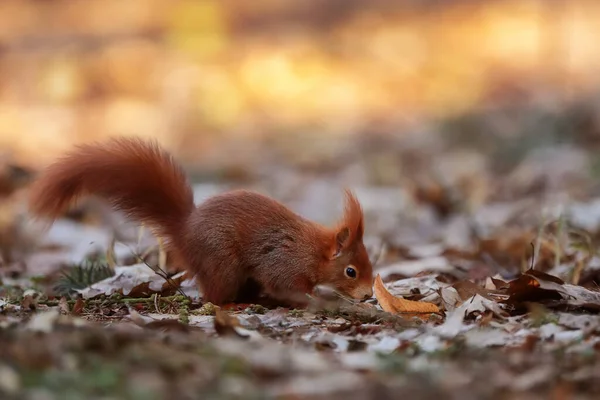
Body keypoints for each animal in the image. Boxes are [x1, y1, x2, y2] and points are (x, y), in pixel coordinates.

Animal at [29, 138, 376, 306]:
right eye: (351, 271)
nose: (368, 296)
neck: (312, 250)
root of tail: (184, 232)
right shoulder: (283, 262)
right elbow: (285, 285)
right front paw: (316, 299)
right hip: (222, 263)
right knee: (214, 297)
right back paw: (234, 306)